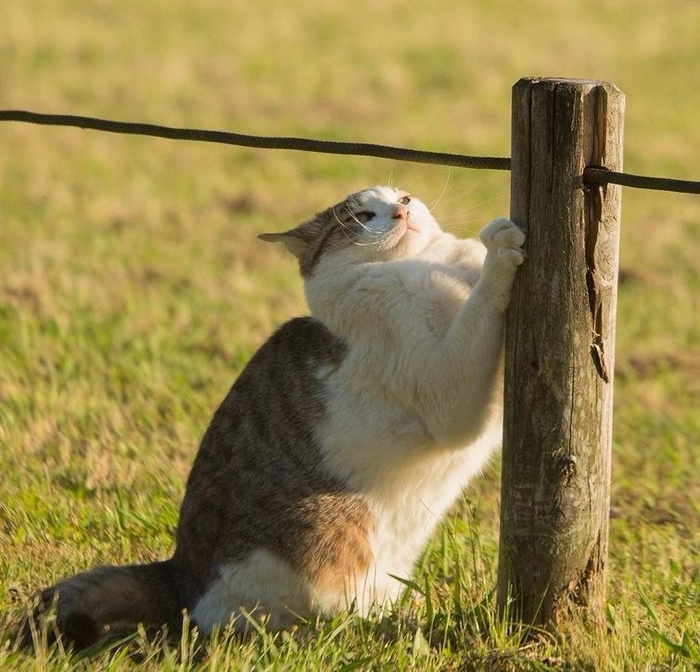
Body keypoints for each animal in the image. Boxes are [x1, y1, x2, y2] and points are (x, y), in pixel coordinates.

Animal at [16, 186, 524, 648]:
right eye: (361, 216)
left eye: (403, 197)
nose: (401, 211)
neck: (412, 266)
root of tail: (177, 574)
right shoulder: (449, 399)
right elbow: (479, 308)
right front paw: (499, 255)